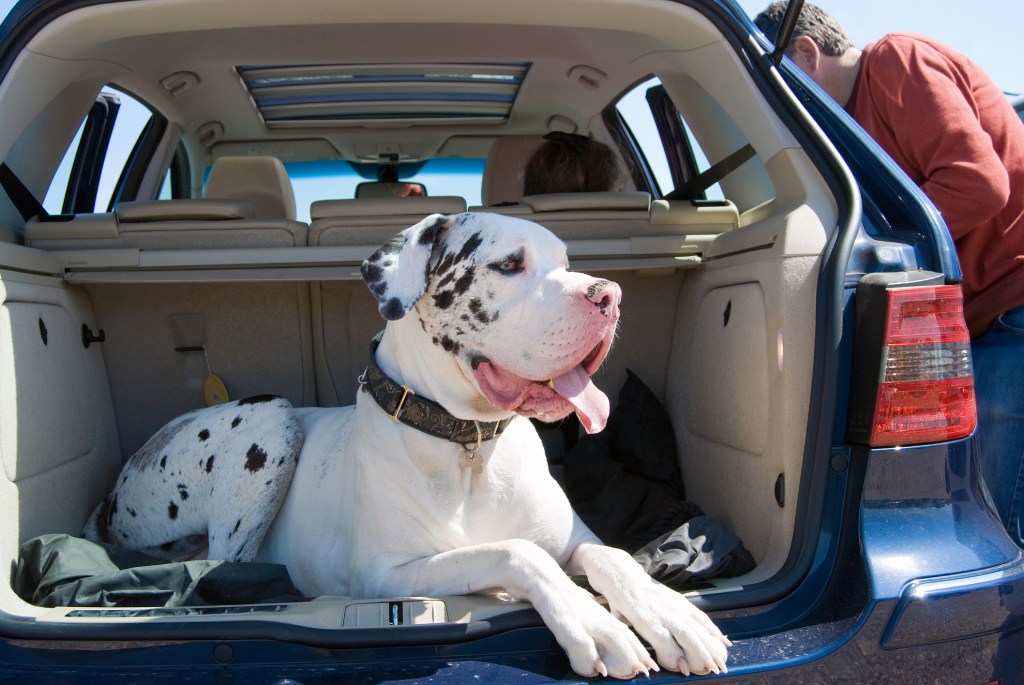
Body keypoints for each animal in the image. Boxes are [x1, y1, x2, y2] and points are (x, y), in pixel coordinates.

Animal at [86, 213, 729, 679]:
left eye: (567, 263)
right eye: (509, 264)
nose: (609, 295)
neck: (470, 446)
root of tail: (110, 498)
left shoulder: (575, 537)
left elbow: (610, 555)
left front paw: (672, 616)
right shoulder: (388, 577)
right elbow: (519, 553)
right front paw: (596, 627)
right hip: (270, 420)